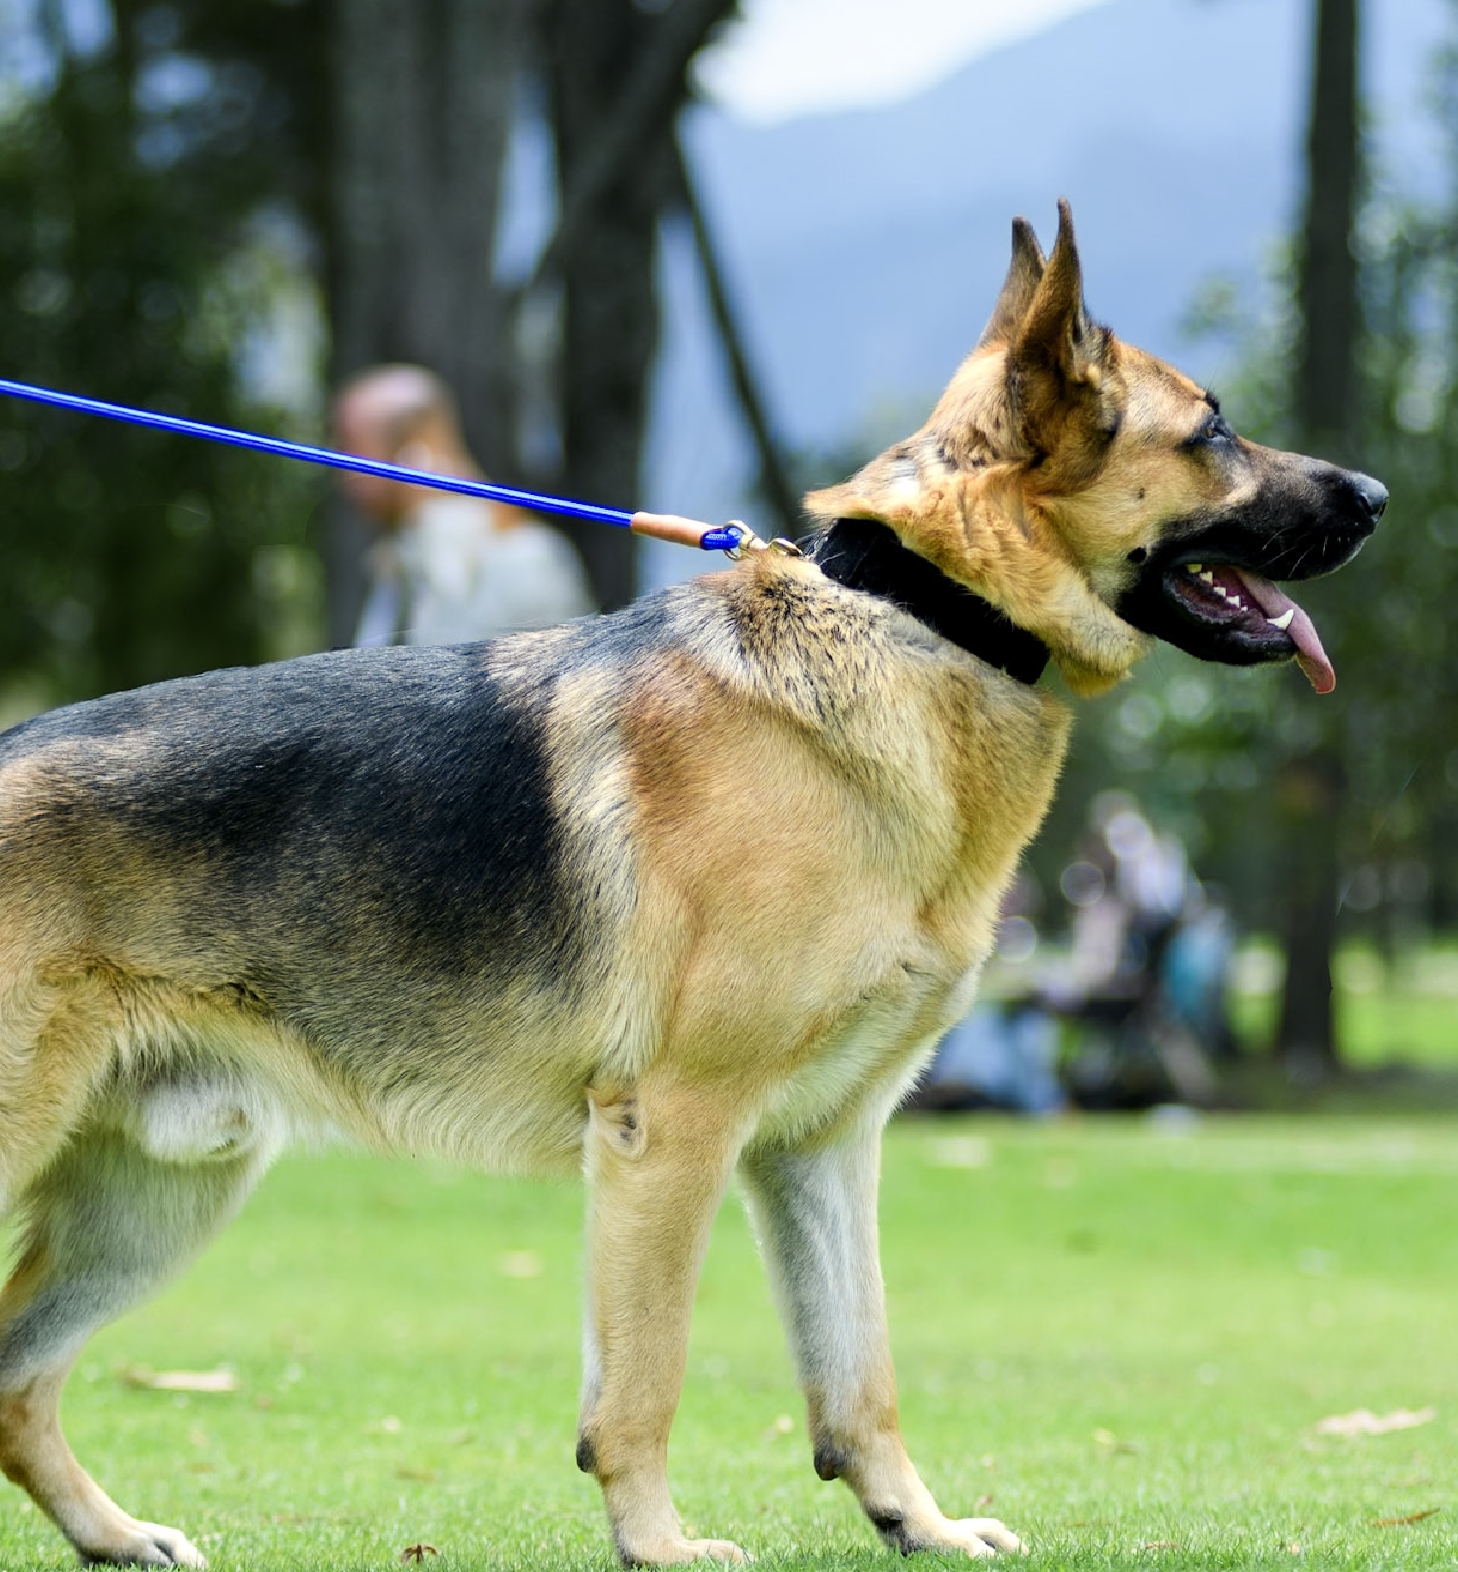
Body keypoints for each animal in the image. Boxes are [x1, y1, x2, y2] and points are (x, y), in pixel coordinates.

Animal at [0, 202, 1384, 1567]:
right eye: (1212, 429)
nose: (1378, 494)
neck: (921, 618)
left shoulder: (824, 1146)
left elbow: (860, 1372)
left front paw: (916, 1523)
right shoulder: (674, 1133)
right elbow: (645, 1382)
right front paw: (658, 1544)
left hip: (159, 1197)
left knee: (16, 1382)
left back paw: (114, 1534)